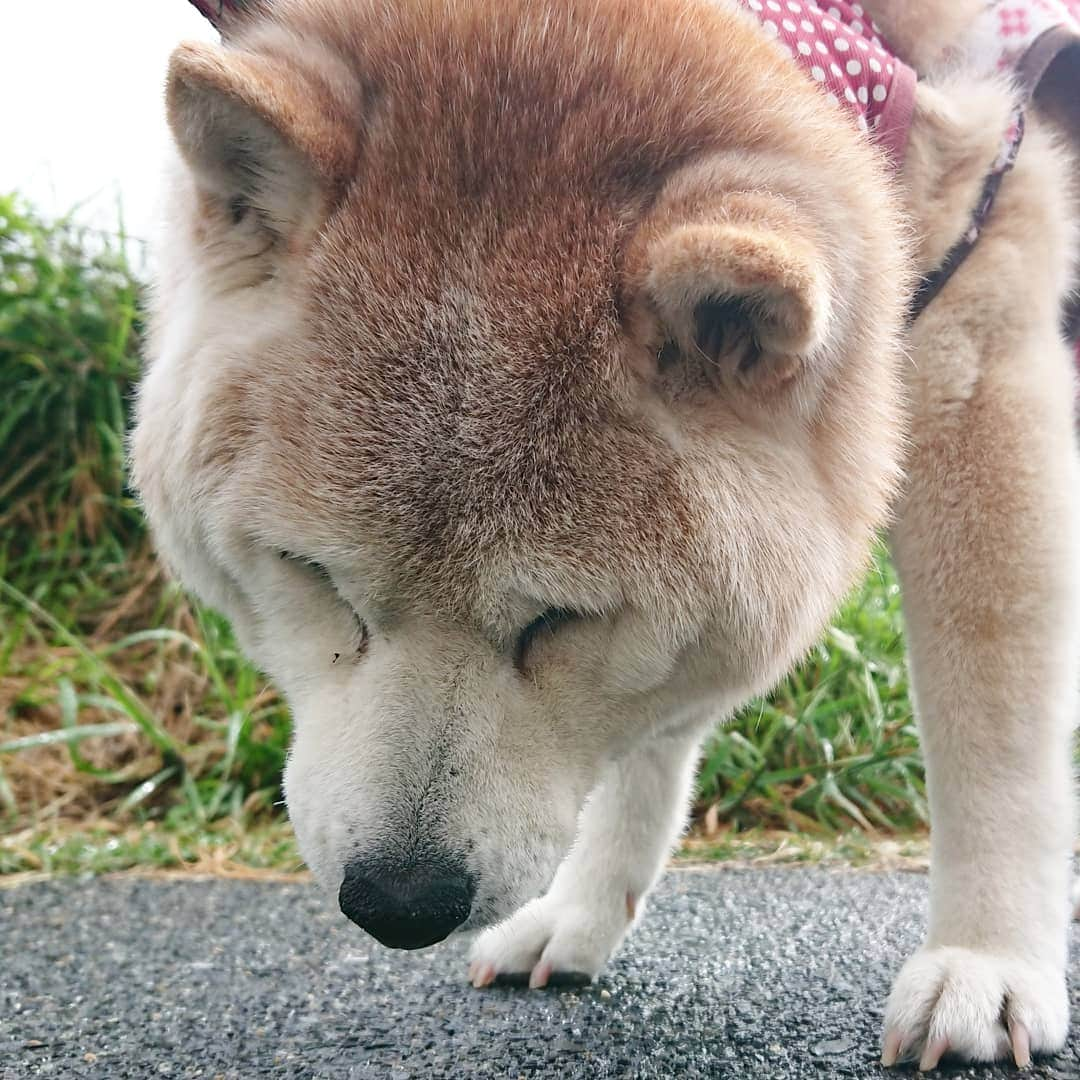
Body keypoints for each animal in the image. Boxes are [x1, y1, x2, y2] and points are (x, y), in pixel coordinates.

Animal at [135, 0, 1080, 1067]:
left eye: (557, 622)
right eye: (316, 579)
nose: (400, 902)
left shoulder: (985, 368)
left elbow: (993, 732)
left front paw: (986, 958)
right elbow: (646, 739)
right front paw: (580, 914)